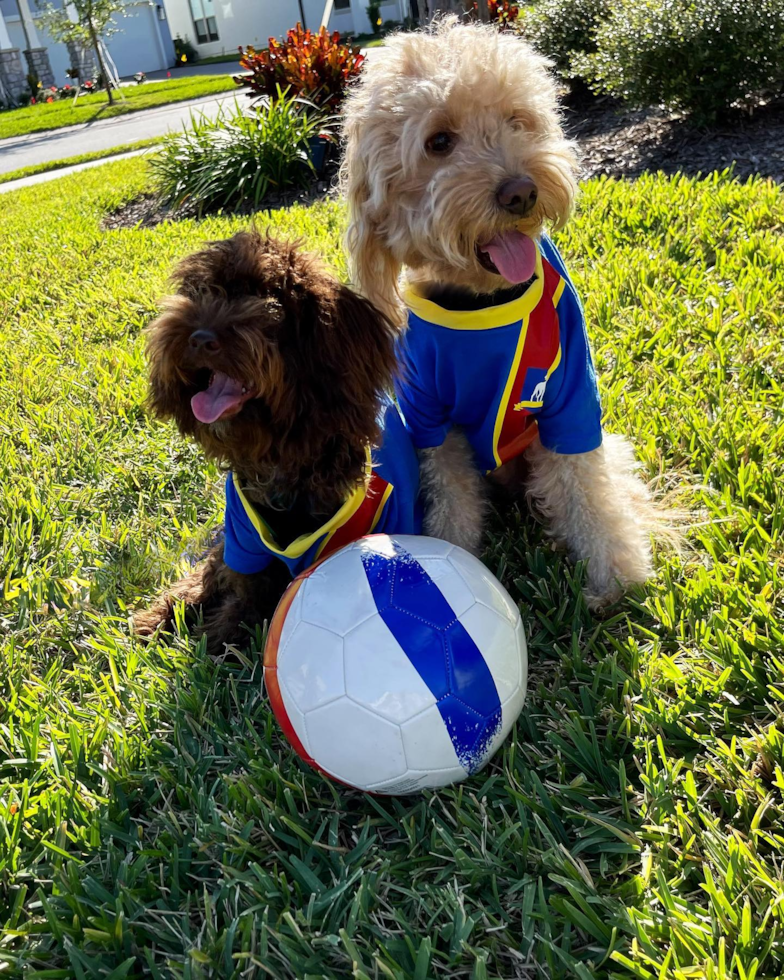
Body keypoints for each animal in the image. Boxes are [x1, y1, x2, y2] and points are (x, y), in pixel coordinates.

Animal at [340, 19, 672, 608]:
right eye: (439, 142)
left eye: (519, 120)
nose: (521, 192)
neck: (481, 303)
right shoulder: (431, 419)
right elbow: (451, 501)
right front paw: (452, 557)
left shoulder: (570, 401)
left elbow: (591, 497)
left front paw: (615, 579)